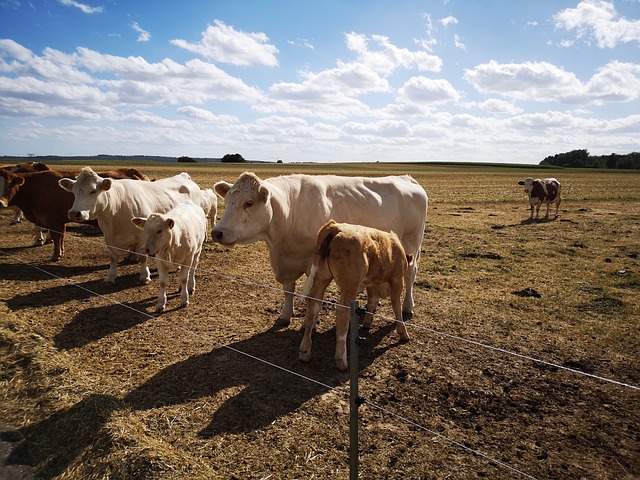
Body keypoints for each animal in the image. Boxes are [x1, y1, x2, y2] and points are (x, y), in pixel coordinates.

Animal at [59, 167, 205, 284]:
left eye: (93, 191)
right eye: (74, 191)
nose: (74, 213)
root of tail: (183, 176)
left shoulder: (142, 237)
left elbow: (143, 257)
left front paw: (145, 276)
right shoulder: (108, 237)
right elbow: (113, 258)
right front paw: (110, 277)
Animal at [212, 172, 428, 326]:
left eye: (248, 203)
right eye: (227, 201)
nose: (217, 232)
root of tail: (406, 178)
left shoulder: (313, 262)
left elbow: (312, 297)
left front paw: (308, 324)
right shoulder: (287, 260)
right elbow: (288, 290)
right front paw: (285, 315)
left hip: (412, 241)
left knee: (410, 273)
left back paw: (408, 306)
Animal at [298, 221, 412, 372]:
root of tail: (335, 227)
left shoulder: (371, 282)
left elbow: (373, 300)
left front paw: (367, 323)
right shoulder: (397, 279)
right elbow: (396, 306)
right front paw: (403, 332)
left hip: (321, 278)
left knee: (313, 305)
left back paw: (304, 352)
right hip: (349, 286)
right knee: (342, 312)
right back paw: (341, 360)